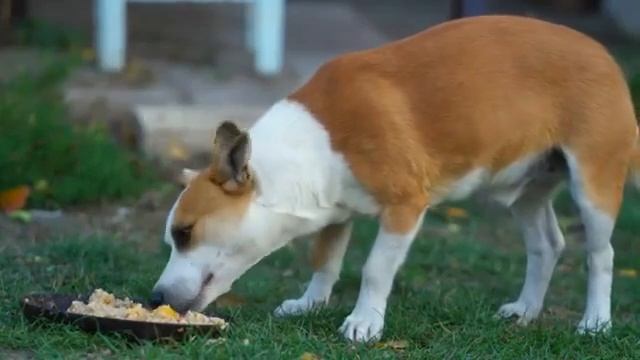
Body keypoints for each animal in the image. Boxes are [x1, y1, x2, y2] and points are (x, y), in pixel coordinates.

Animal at [151, 15, 640, 342]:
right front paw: (310, 304)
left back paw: (595, 322)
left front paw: (364, 321)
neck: (308, 148)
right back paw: (525, 310)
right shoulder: (335, 212)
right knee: (546, 245)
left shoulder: (405, 208)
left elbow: (375, 268)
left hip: (593, 184)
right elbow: (325, 261)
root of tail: (605, 55)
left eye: (186, 232)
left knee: (602, 254)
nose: (155, 297)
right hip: (525, 191)